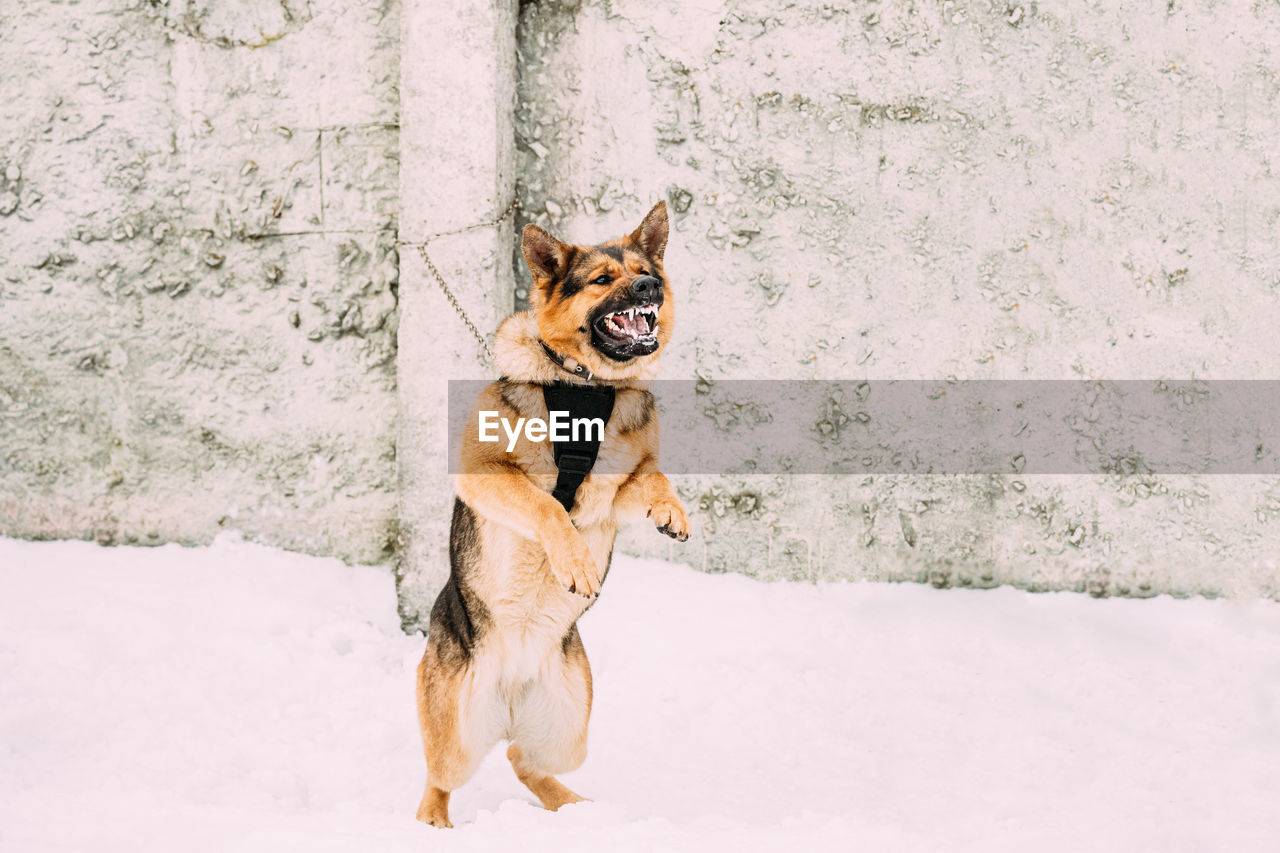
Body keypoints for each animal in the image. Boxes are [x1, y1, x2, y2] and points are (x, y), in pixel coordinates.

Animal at [414, 199, 691, 824]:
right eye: (602, 280)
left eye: (646, 272)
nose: (650, 287)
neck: (586, 386)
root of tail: (510, 694)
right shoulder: (484, 471)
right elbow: (545, 503)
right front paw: (574, 562)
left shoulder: (617, 489)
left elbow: (653, 476)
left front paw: (671, 512)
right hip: (455, 734)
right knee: (441, 775)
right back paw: (432, 823)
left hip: (569, 730)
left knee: (523, 758)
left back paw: (573, 807)